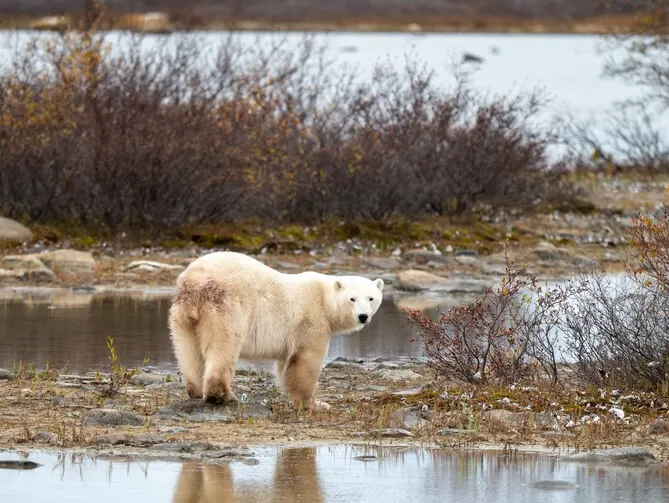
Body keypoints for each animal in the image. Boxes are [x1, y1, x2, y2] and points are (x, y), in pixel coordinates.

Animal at [168, 251, 384, 411]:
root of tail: (195, 280)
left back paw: (196, 390)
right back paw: (223, 395)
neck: (324, 299)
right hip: (226, 306)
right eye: (352, 298)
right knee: (224, 344)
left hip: (182, 315)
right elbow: (305, 360)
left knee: (188, 350)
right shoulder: (311, 319)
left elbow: (285, 365)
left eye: (371, 298)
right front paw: (315, 404)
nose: (363, 316)